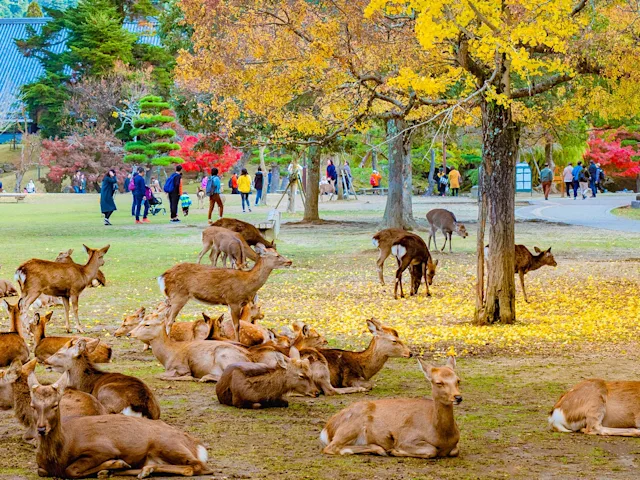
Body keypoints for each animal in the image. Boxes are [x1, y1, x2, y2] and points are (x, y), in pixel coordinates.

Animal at [28, 374, 212, 479]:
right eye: (33, 405)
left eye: (55, 404)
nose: (41, 429)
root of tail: (198, 446)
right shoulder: (42, 467)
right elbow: (42, 471)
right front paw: (113, 467)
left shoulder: (102, 448)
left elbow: (71, 470)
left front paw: (114, 464)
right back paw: (141, 470)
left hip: (168, 444)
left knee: (199, 466)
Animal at [158, 250, 292, 341]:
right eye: (277, 255)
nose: (289, 261)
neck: (247, 283)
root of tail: (163, 276)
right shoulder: (233, 300)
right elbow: (236, 325)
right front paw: (238, 342)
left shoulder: (231, 303)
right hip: (179, 295)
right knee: (169, 320)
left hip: (170, 297)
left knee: (166, 316)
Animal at [320, 356, 462, 458]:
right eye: (438, 382)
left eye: (458, 380)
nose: (458, 397)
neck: (441, 436)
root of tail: (327, 429)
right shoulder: (407, 438)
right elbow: (431, 450)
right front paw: (395, 451)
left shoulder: (455, 446)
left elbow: (455, 451)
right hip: (350, 427)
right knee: (331, 447)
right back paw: (382, 450)